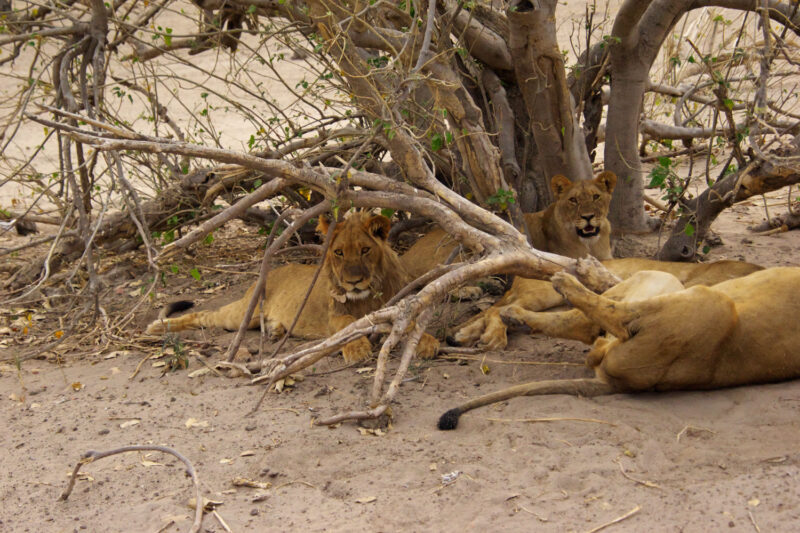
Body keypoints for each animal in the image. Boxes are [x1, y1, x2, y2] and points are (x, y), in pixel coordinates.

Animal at [147, 212, 440, 362]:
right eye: (339, 252)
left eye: (365, 250)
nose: (353, 282)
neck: (367, 294)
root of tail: (268, 273)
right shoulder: (335, 316)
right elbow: (348, 325)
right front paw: (357, 350)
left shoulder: (398, 307)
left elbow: (413, 324)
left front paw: (427, 342)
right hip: (241, 314)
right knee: (204, 315)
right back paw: (156, 327)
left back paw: (276, 329)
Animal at [438, 268, 800, 430]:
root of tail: (615, 382)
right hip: (674, 287)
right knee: (589, 328)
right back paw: (513, 316)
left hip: (706, 299)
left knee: (611, 318)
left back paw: (563, 281)